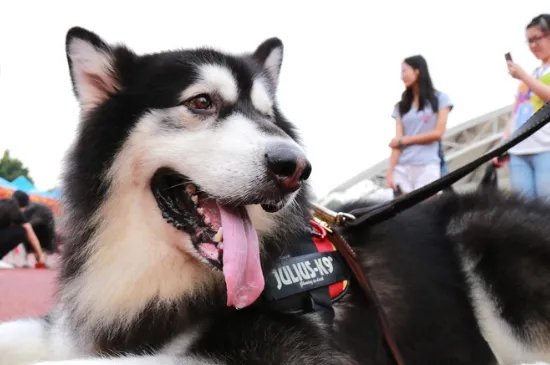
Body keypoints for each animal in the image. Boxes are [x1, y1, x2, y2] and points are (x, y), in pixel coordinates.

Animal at [1, 27, 550, 364]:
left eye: (269, 117)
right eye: (201, 102)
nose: (296, 168)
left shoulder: (295, 349)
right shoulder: (74, 329)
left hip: (485, 235)